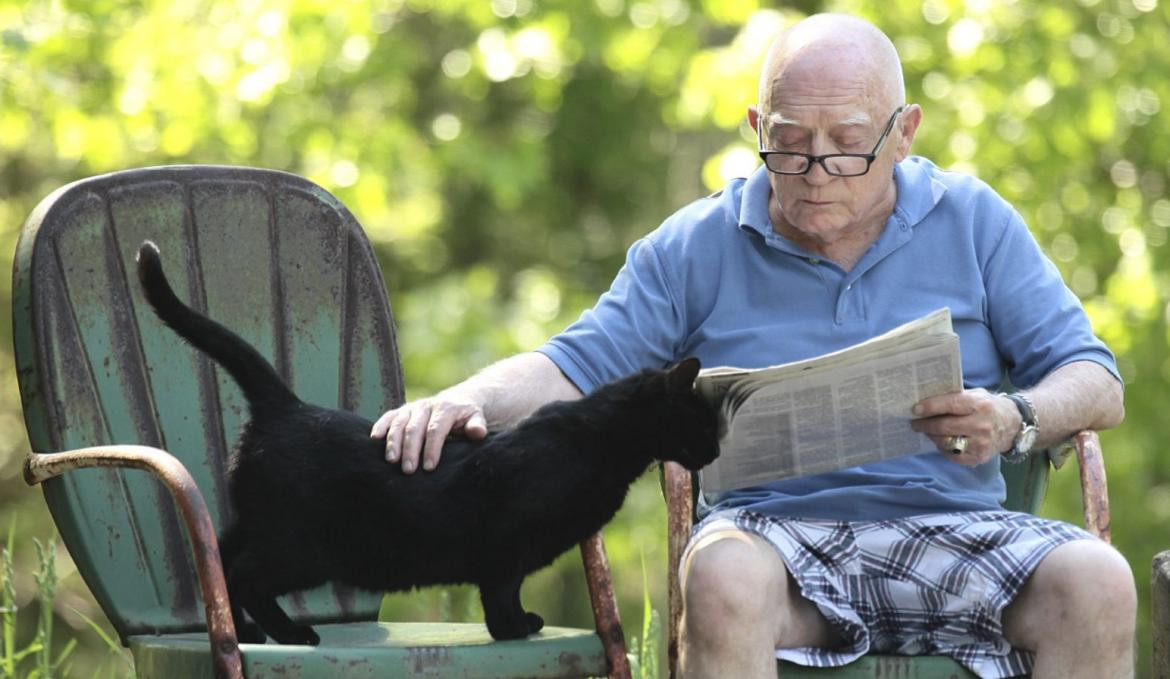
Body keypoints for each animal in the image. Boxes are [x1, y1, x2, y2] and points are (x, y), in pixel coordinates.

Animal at [136, 241, 720, 646]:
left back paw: (248, 633)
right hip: (302, 547)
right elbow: (502, 593)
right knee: (241, 575)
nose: (716, 451)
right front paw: (515, 627)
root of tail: (287, 405)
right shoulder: (506, 547)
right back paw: (292, 634)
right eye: (706, 423)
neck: (599, 441)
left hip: (259, 526)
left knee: (217, 560)